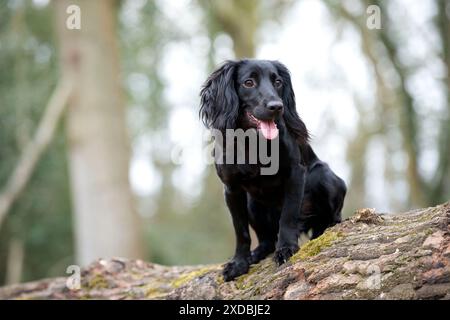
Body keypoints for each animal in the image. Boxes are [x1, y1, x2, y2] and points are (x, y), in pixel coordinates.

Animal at [199, 59, 346, 280]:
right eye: (248, 82)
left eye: (277, 82)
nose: (277, 106)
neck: (253, 141)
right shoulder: (232, 189)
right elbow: (241, 231)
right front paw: (239, 263)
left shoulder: (295, 174)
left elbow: (288, 216)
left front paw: (286, 249)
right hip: (252, 202)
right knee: (267, 240)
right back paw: (255, 254)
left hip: (324, 177)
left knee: (330, 219)